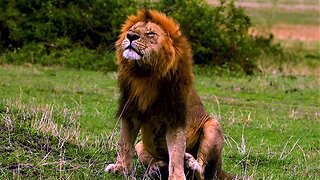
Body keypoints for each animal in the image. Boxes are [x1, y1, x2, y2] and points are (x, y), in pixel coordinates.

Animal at [106, 9, 234, 180]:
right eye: (131, 30)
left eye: (151, 33)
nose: (130, 36)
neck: (146, 75)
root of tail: (220, 170)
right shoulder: (130, 111)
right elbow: (124, 143)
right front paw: (120, 169)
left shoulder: (175, 117)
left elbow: (176, 152)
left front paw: (177, 176)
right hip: (140, 145)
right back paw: (156, 168)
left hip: (213, 125)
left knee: (202, 172)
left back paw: (191, 163)